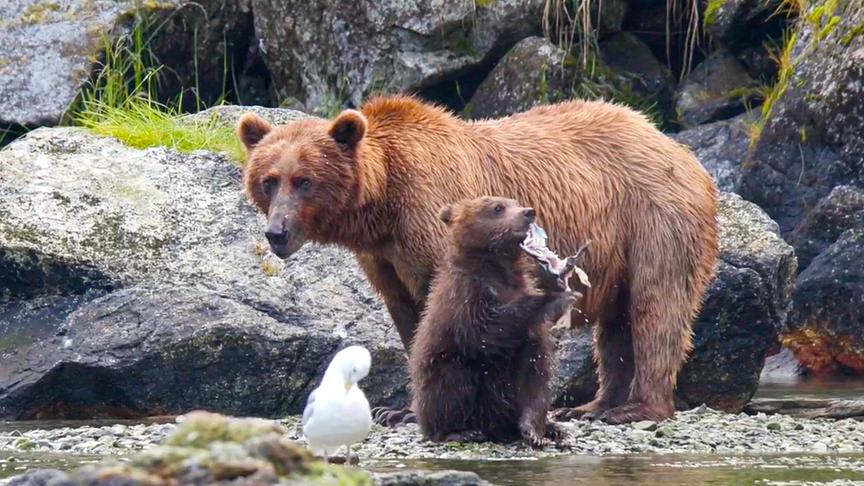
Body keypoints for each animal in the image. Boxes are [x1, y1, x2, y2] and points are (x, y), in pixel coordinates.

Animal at [409, 196, 578, 446]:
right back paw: (461, 431)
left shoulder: (529, 337)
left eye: (515, 202)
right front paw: (557, 298)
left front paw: (535, 432)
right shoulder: (465, 297)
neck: (498, 270)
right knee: (452, 383)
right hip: (442, 376)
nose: (529, 212)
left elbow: (534, 377)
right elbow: (486, 330)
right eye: (497, 208)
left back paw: (552, 428)